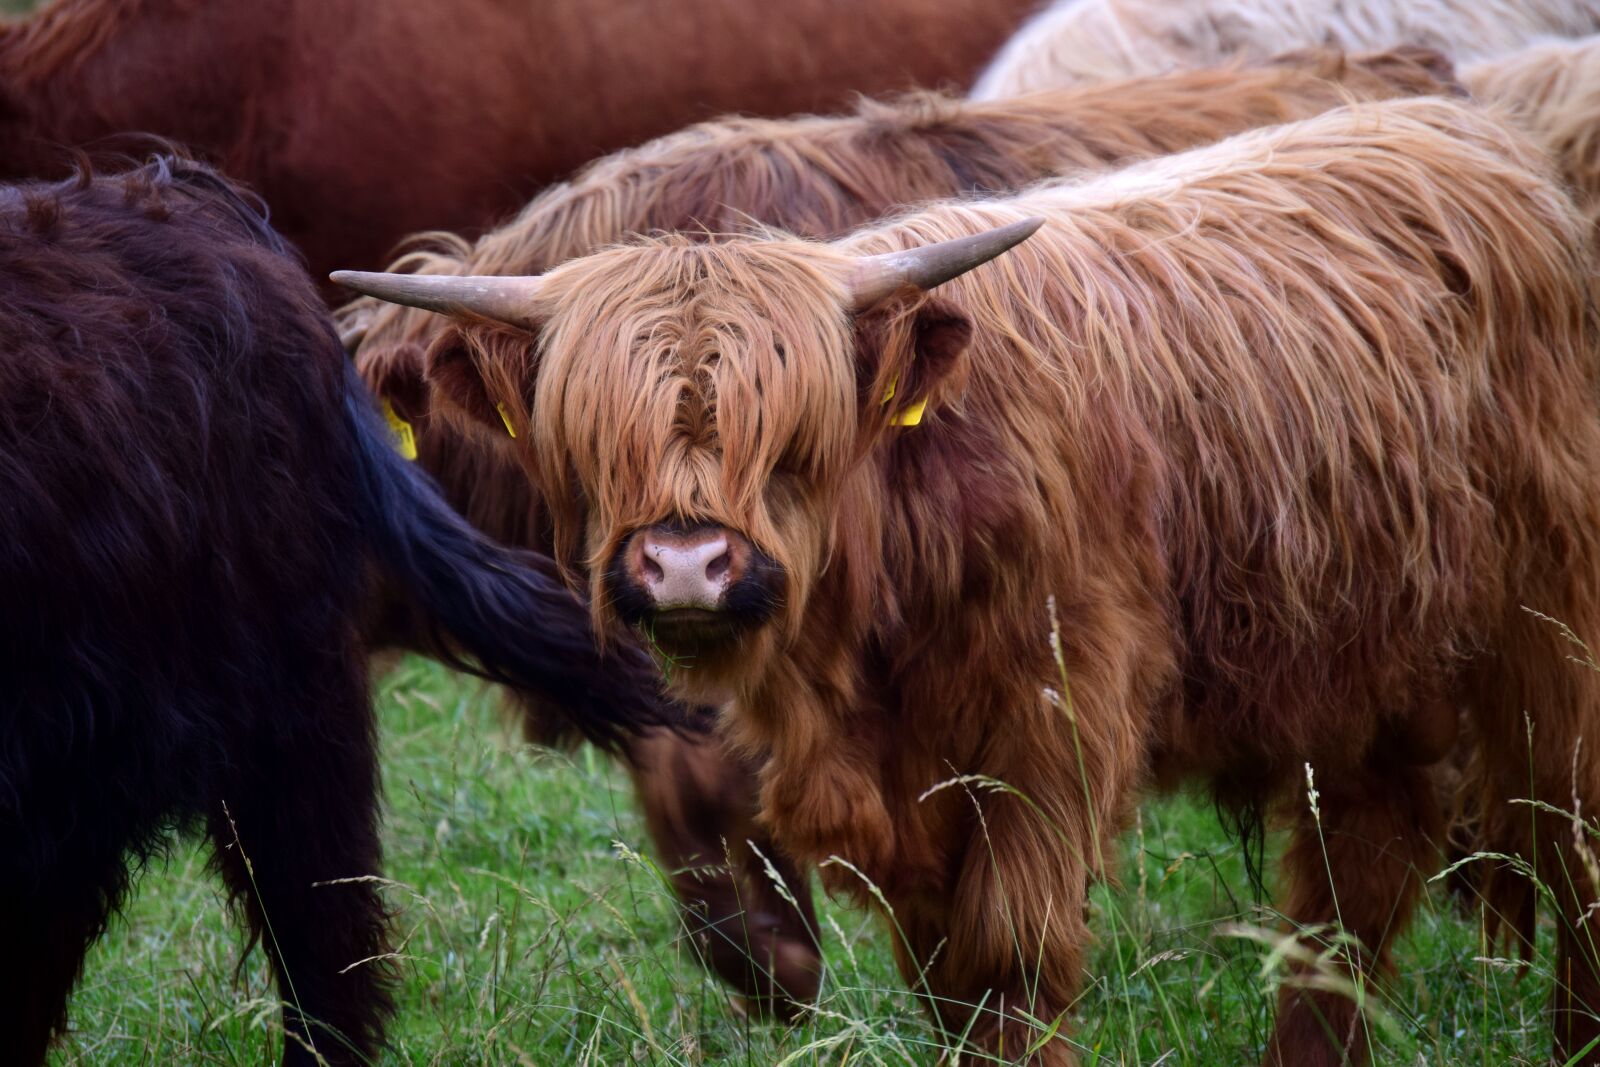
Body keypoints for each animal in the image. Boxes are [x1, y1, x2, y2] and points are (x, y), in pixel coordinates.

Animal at [335, 96, 1600, 1066]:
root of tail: (1473, 140)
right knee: (1349, 891)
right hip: (1363, 665)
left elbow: (1007, 959)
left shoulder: (1049, 726)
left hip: (1551, 640)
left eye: (794, 434)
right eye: (592, 437)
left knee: (1570, 843)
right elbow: (941, 975)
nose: (687, 563)